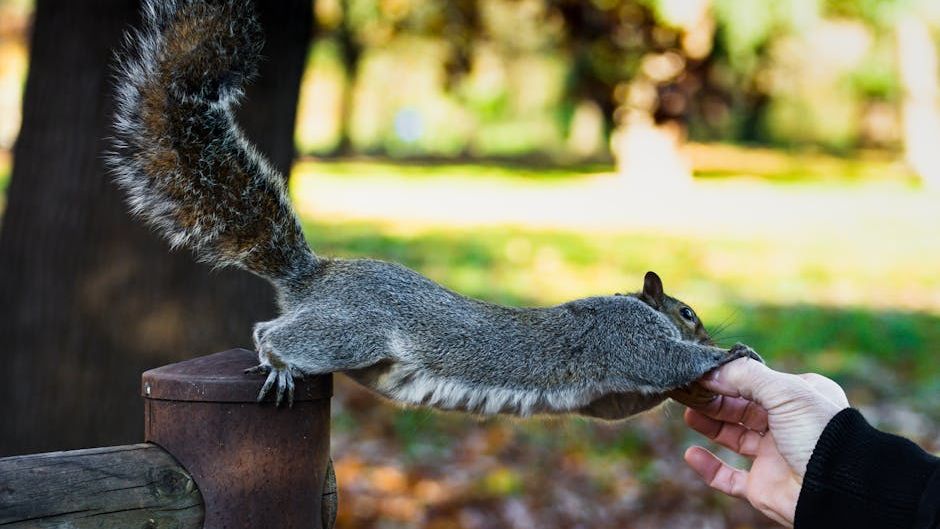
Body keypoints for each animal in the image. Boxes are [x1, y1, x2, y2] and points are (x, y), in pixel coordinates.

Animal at [109, 0, 762, 418]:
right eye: (687, 312)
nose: (711, 333)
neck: (633, 305)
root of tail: (316, 277)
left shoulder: (612, 393)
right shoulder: (627, 338)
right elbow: (668, 361)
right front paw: (730, 353)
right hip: (351, 331)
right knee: (273, 333)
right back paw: (279, 363)